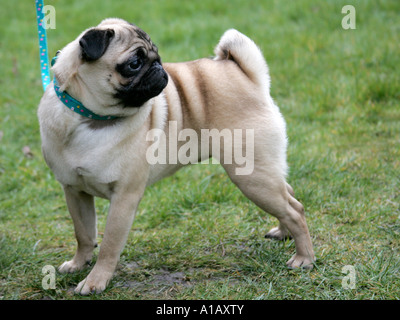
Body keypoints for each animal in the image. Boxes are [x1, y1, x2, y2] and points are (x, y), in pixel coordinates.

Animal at [37, 16, 314, 292]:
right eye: (134, 64)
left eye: (156, 55)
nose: (159, 67)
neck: (89, 119)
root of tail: (246, 75)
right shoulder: (74, 191)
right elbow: (83, 234)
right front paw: (78, 264)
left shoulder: (124, 198)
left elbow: (109, 247)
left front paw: (95, 281)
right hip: (262, 171)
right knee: (288, 196)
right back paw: (283, 232)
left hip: (251, 176)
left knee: (295, 211)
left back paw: (304, 258)